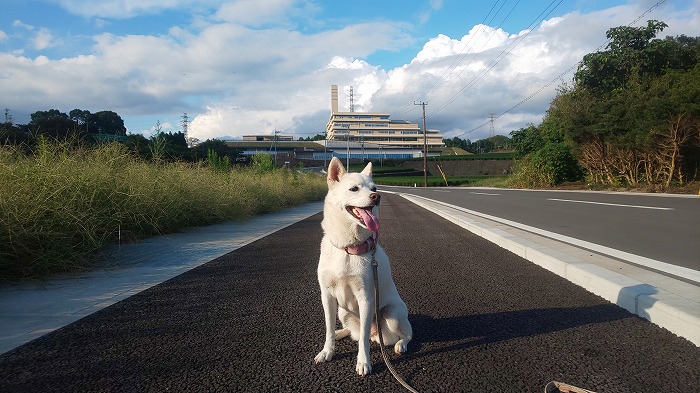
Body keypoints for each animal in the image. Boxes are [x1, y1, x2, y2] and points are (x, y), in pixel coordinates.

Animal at [314, 156, 412, 376]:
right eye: (354, 189)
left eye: (374, 187)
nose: (377, 196)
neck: (348, 248)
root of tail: (378, 334)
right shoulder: (327, 296)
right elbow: (328, 329)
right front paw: (327, 351)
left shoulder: (366, 298)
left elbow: (363, 343)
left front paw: (363, 362)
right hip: (342, 311)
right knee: (355, 332)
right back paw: (341, 332)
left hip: (392, 313)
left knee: (405, 334)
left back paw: (400, 345)